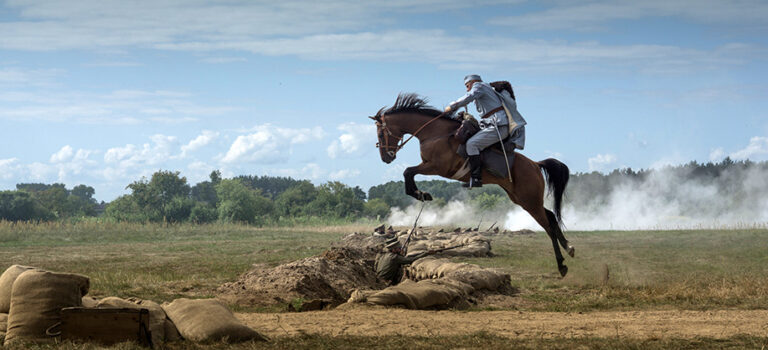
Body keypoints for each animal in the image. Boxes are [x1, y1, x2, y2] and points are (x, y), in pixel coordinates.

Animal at [368, 93, 572, 276]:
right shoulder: (430, 166)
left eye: (380, 133)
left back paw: (562, 264)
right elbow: (408, 173)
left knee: (548, 226)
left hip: (529, 200)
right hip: (523, 199)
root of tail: (535, 164)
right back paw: (569, 247)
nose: (386, 157)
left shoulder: (436, 167)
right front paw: (421, 193)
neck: (435, 133)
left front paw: (421, 194)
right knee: (551, 216)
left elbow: (408, 171)